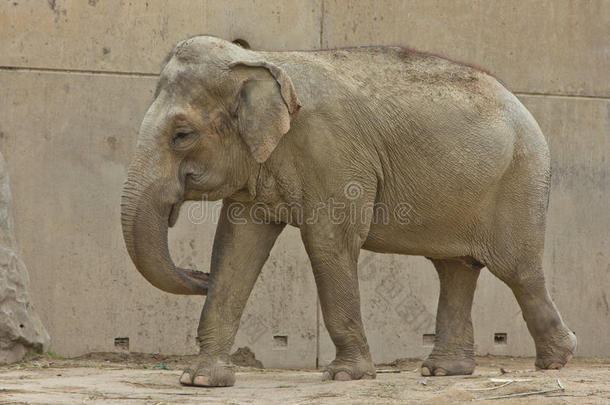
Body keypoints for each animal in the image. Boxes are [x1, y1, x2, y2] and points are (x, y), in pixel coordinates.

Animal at [120, 36, 576, 386]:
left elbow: (328, 242)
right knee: (455, 268)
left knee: (517, 270)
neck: (265, 61)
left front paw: (345, 376)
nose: (199, 275)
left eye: (182, 135)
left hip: (520, 180)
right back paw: (443, 371)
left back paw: (558, 358)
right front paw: (200, 380)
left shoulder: (334, 154)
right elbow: (235, 249)